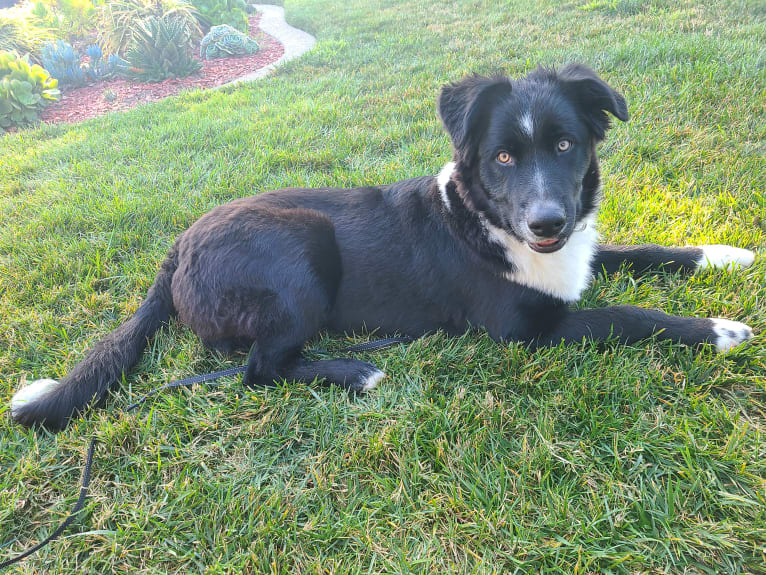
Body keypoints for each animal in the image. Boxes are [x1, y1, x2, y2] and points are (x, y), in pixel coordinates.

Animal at [10, 64, 756, 432]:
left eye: (566, 145)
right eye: (503, 157)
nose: (546, 223)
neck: (484, 220)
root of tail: (176, 249)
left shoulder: (579, 249)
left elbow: (646, 252)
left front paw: (723, 254)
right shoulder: (528, 327)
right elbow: (630, 317)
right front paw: (719, 329)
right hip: (299, 250)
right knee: (256, 370)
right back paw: (355, 372)